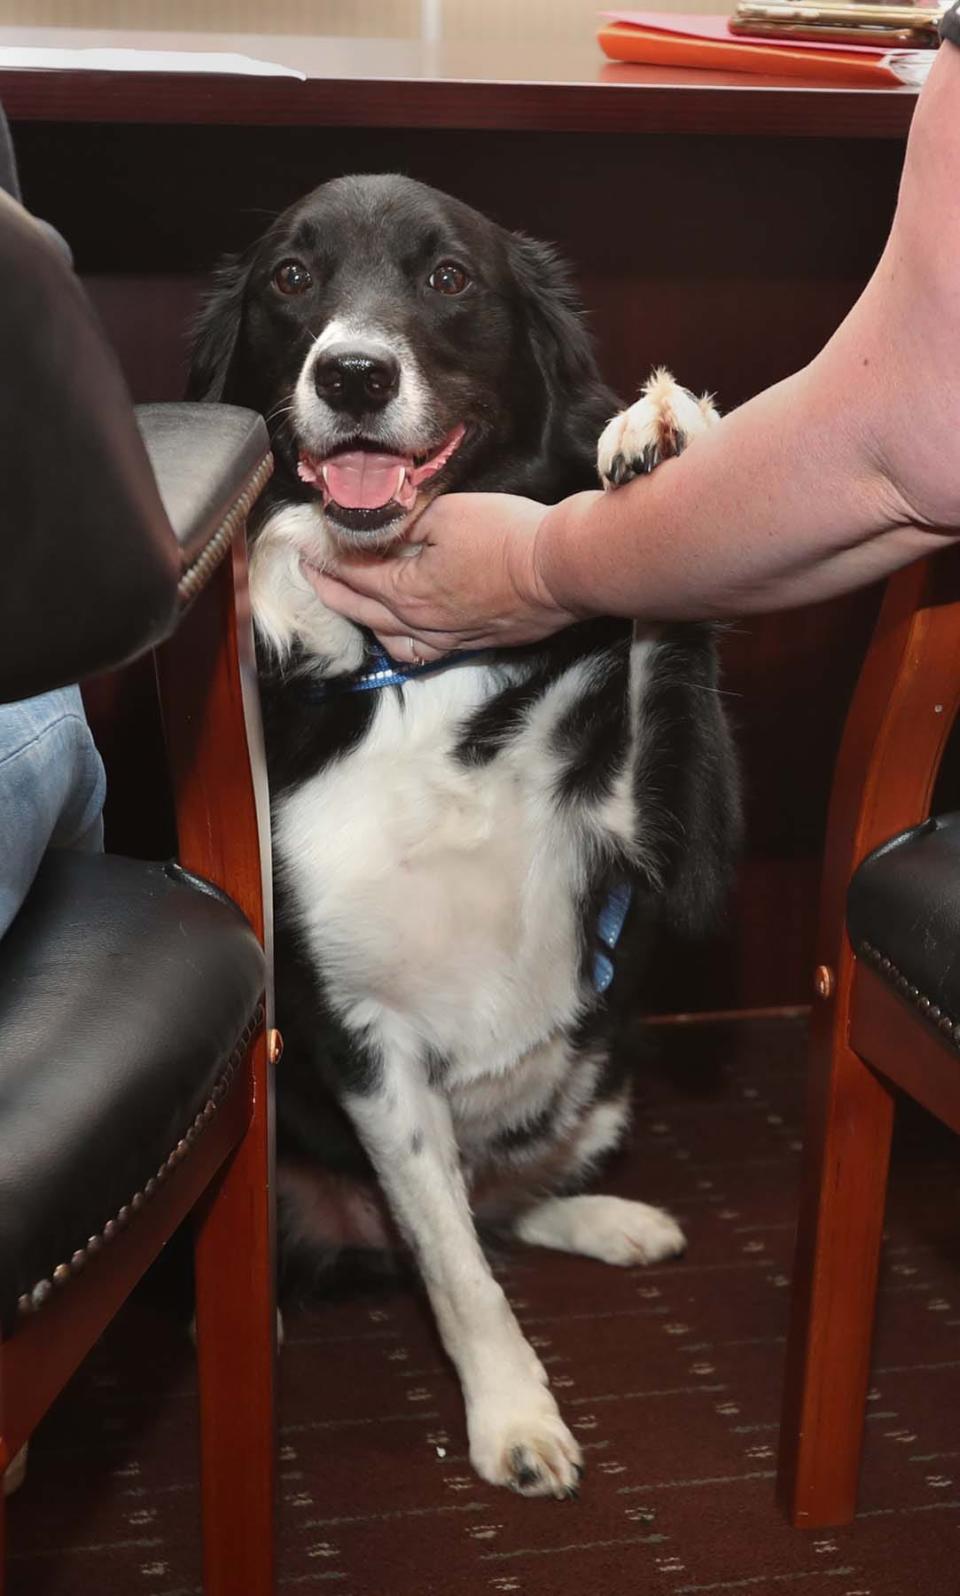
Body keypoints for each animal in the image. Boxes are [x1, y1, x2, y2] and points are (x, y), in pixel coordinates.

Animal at [188, 174, 739, 1493]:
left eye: (448, 279)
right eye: (291, 278)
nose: (352, 376)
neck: (415, 680)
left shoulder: (683, 878)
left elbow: (665, 624)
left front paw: (654, 433)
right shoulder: (362, 1045)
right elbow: (455, 1271)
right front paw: (514, 1418)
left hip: (606, 1071)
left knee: (510, 1201)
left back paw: (610, 1217)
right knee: (448, 1226)